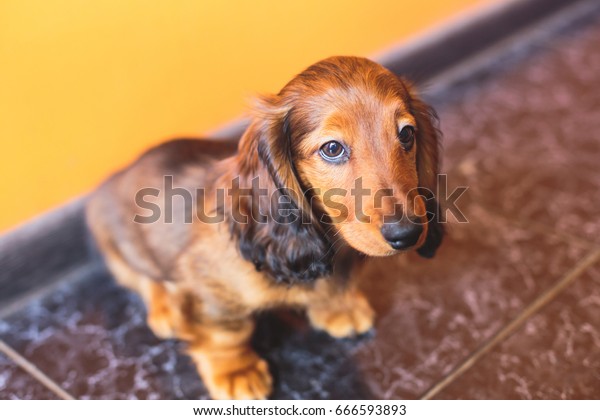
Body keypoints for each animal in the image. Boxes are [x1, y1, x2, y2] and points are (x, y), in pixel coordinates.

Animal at [89, 56, 446, 400]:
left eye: (406, 134)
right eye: (332, 148)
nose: (408, 234)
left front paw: (338, 307)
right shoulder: (207, 281)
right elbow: (226, 332)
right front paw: (235, 371)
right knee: (145, 280)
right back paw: (166, 310)